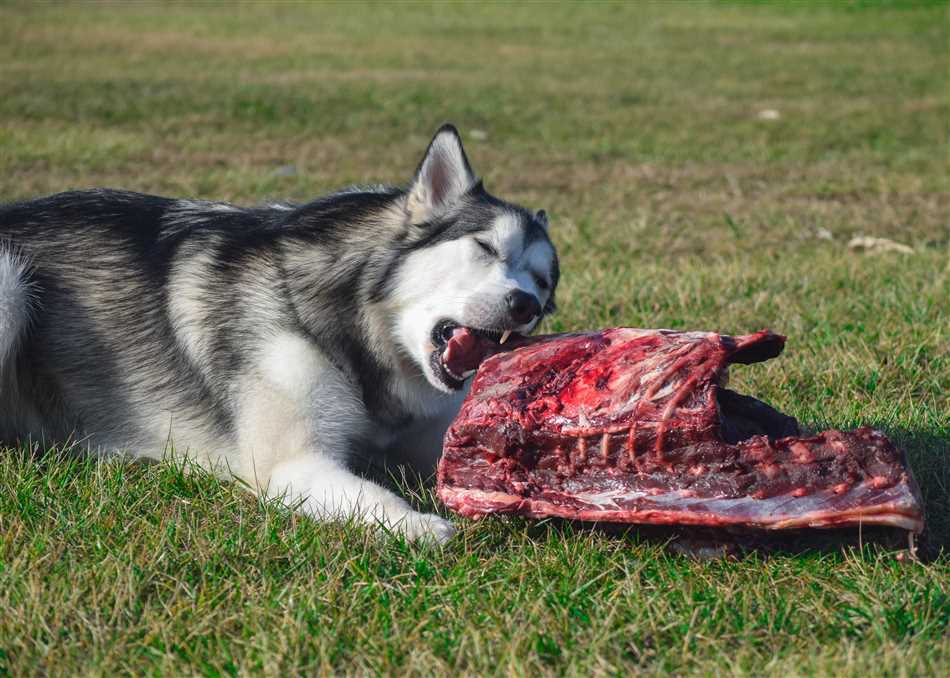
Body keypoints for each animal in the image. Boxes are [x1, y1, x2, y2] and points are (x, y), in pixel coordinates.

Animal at [0, 125, 556, 544]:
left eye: (544, 282)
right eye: (485, 247)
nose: (525, 305)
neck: (356, 329)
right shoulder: (292, 463)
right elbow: (374, 495)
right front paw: (418, 526)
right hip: (10, 281)